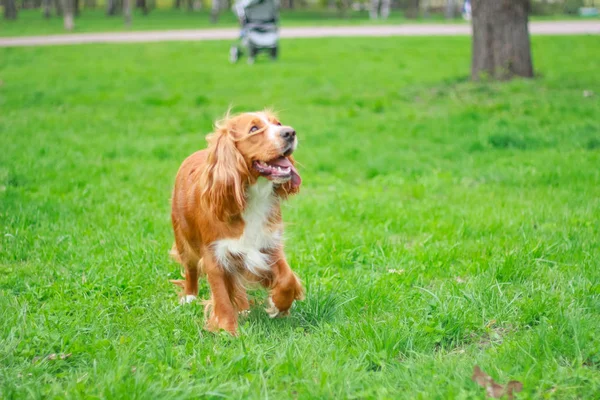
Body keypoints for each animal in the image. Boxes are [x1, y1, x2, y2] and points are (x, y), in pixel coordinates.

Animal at [169, 111, 304, 332]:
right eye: (254, 129)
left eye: (278, 124)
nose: (290, 132)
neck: (252, 195)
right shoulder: (214, 254)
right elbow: (222, 297)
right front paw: (228, 331)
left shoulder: (269, 245)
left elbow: (287, 279)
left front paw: (278, 305)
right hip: (183, 238)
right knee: (190, 268)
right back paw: (189, 296)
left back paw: (242, 308)